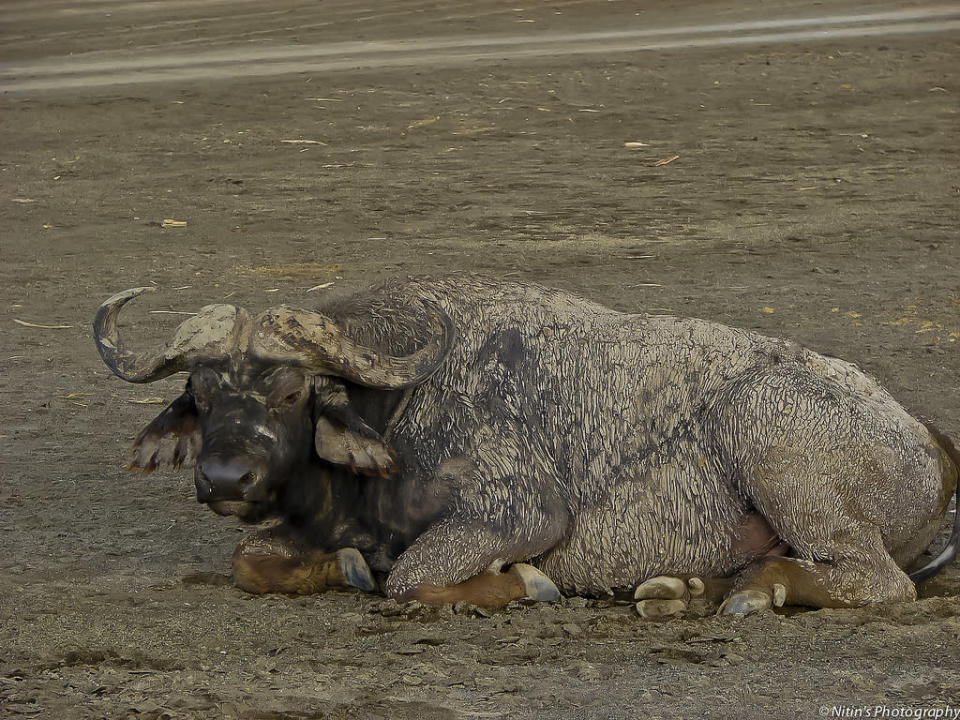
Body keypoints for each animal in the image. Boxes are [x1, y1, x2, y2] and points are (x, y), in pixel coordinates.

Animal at [92, 276, 960, 612]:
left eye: (288, 390)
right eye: (201, 395)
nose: (225, 477)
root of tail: (926, 440)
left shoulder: (515, 515)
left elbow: (412, 577)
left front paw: (521, 584)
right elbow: (253, 560)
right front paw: (340, 565)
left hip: (769, 432)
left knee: (875, 579)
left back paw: (756, 588)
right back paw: (686, 588)